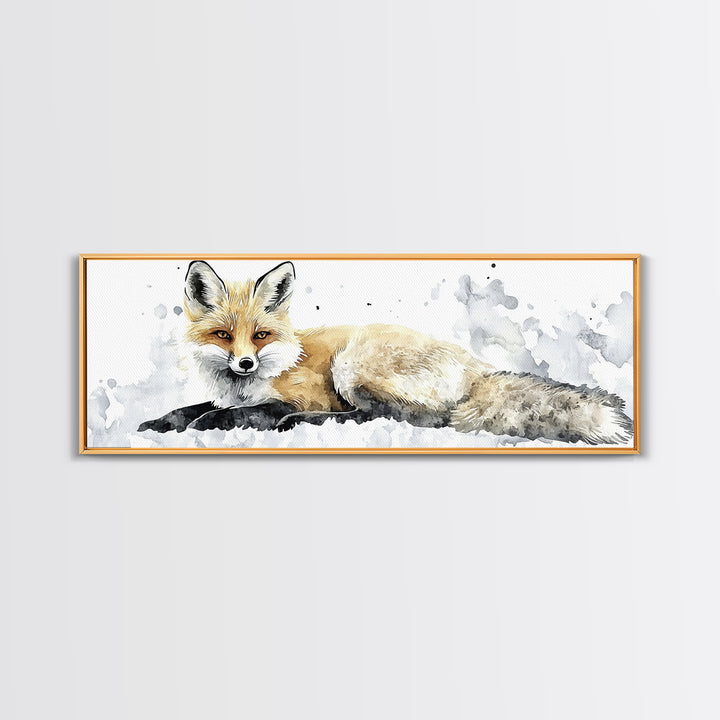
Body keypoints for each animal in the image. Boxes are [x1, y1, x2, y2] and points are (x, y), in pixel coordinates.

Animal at [138, 260, 634, 444]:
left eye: (259, 335)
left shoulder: (294, 394)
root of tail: (476, 368)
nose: (245, 362)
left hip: (351, 367)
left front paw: (211, 424)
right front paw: (158, 424)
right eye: (224, 335)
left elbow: (239, 413)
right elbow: (188, 408)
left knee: (396, 416)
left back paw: (299, 423)